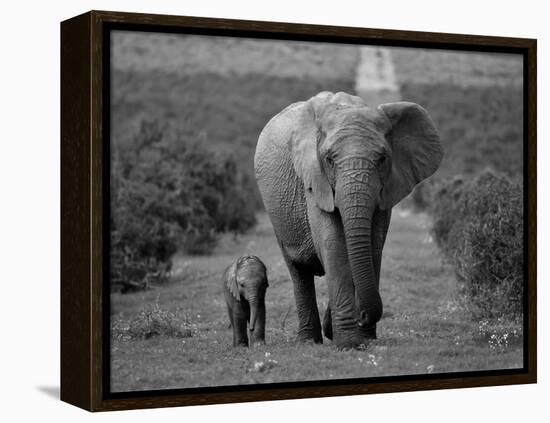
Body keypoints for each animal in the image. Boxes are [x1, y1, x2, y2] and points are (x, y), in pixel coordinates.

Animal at [254, 91, 444, 350]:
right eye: (329, 160)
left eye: (382, 159)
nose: (362, 316)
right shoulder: (315, 181)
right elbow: (333, 244)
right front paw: (348, 343)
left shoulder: (386, 188)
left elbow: (373, 245)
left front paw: (363, 337)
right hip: (276, 213)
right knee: (298, 271)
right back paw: (309, 341)